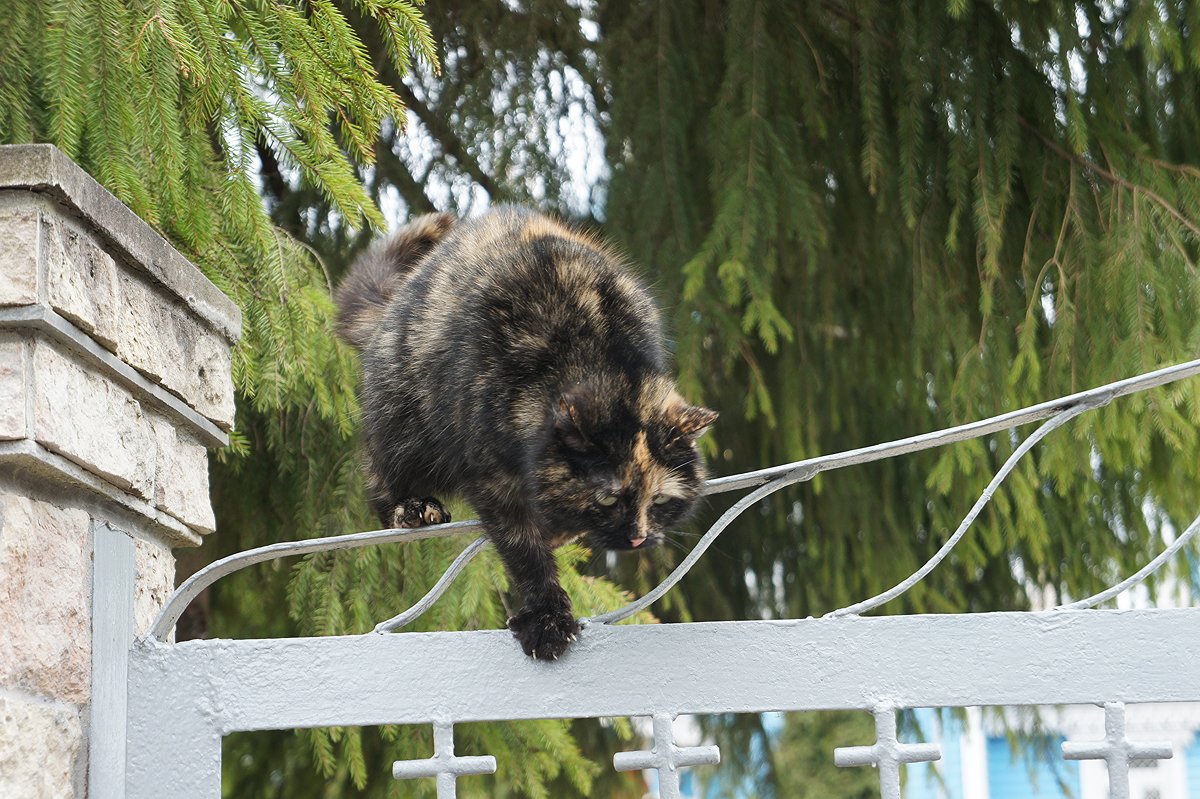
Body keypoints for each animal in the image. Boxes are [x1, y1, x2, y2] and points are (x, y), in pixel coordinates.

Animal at [333, 206, 715, 657]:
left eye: (660, 500)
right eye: (607, 497)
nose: (638, 539)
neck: (592, 353)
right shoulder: (492, 477)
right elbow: (524, 550)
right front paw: (547, 620)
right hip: (402, 420)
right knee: (378, 472)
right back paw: (410, 507)